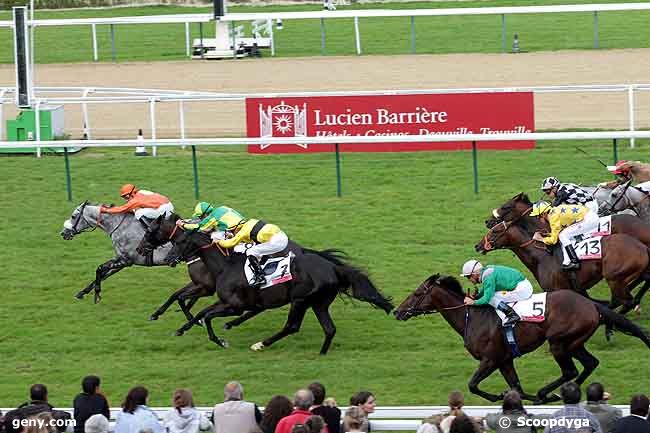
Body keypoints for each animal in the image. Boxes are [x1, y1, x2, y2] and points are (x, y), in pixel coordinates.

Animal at [60, 201, 213, 318]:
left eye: (73, 216)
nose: (63, 233)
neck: (118, 226)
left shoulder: (125, 260)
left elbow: (100, 269)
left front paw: (97, 294)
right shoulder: (121, 260)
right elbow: (104, 274)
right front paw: (82, 293)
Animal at [137, 213, 392, 354]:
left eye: (181, 242)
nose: (170, 259)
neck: (224, 264)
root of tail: (332, 268)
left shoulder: (231, 304)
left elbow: (203, 313)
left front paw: (219, 340)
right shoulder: (220, 298)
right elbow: (197, 309)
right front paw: (184, 326)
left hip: (300, 300)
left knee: (291, 326)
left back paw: (260, 344)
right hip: (318, 303)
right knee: (329, 329)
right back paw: (321, 354)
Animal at [390, 274, 648, 402]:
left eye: (417, 293)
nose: (397, 311)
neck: (472, 317)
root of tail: (592, 305)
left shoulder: (491, 359)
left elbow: (473, 385)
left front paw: (500, 396)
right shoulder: (505, 360)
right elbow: (517, 387)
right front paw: (513, 397)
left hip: (558, 342)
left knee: (570, 370)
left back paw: (547, 392)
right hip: (575, 342)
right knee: (590, 363)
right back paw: (561, 392)